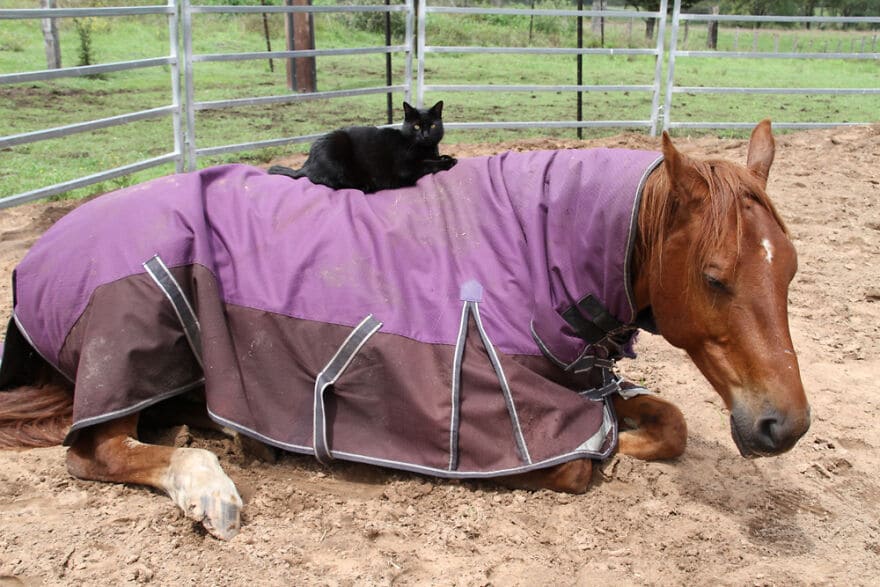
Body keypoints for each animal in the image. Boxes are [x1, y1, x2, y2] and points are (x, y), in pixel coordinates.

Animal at [0, 120, 812, 544]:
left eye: (792, 268)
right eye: (715, 276)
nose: (786, 426)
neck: (540, 246)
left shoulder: (581, 373)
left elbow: (669, 422)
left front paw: (630, 435)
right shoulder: (498, 417)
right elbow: (577, 464)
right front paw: (609, 450)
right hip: (132, 336)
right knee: (97, 449)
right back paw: (209, 486)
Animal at [266, 100, 460, 194]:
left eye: (433, 126)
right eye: (417, 126)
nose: (425, 135)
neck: (426, 149)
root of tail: (306, 165)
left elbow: (434, 158)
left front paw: (445, 157)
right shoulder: (405, 167)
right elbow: (427, 164)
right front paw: (448, 162)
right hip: (336, 147)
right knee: (330, 181)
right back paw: (366, 186)